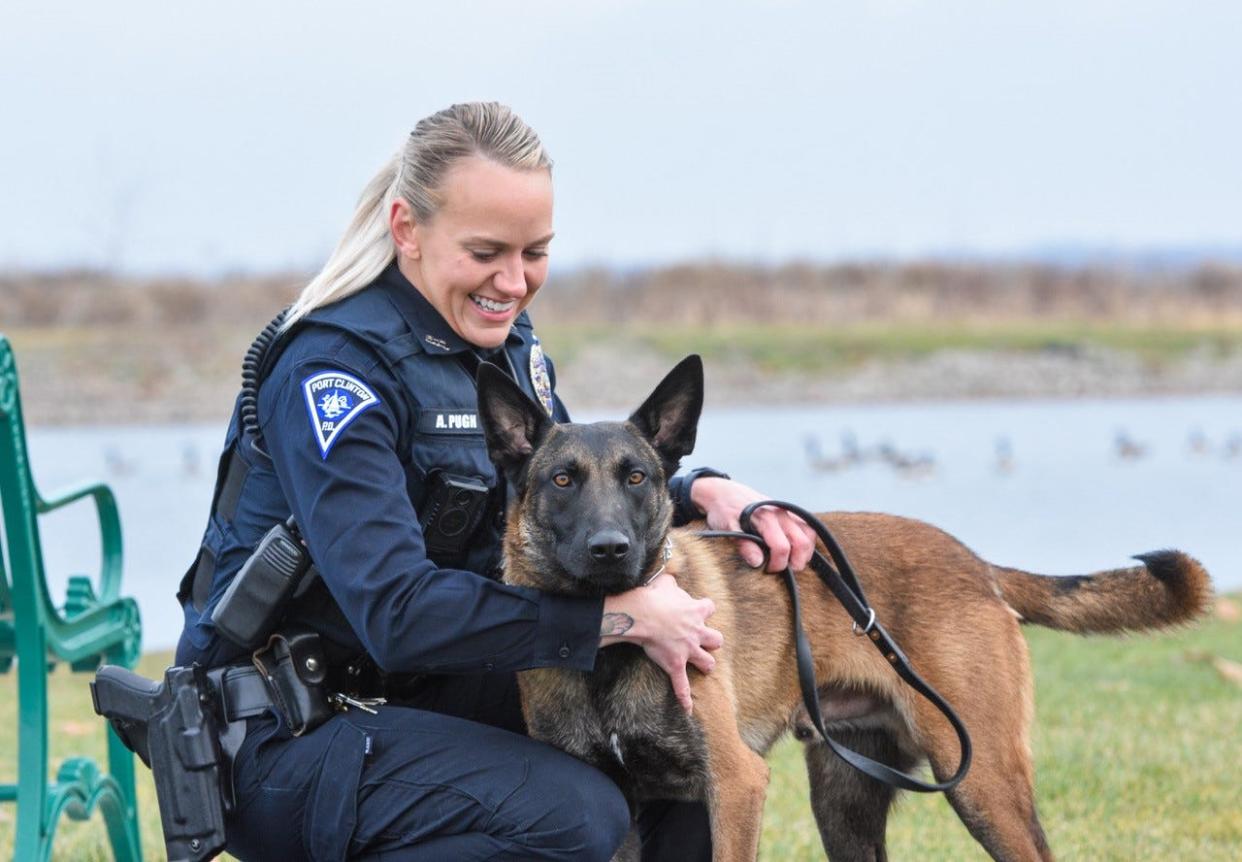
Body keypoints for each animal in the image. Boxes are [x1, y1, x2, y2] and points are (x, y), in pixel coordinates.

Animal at [474, 355, 1212, 859]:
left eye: (637, 477)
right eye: (562, 480)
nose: (611, 550)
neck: (611, 648)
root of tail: (977, 563)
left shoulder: (736, 785)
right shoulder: (626, 806)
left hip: (979, 780)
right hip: (845, 798)